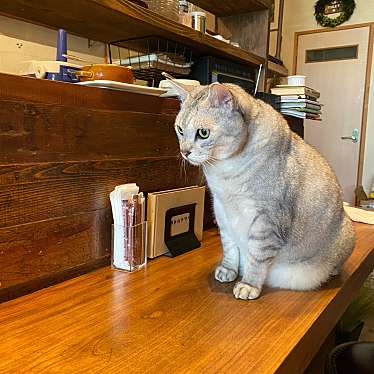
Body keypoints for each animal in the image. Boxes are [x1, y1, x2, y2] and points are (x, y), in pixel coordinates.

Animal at [174, 82, 356, 300]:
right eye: (180, 130)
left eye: (203, 133)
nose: (184, 152)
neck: (224, 172)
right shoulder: (221, 209)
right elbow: (230, 247)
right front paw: (228, 270)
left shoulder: (266, 220)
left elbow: (257, 258)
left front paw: (248, 285)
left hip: (346, 234)